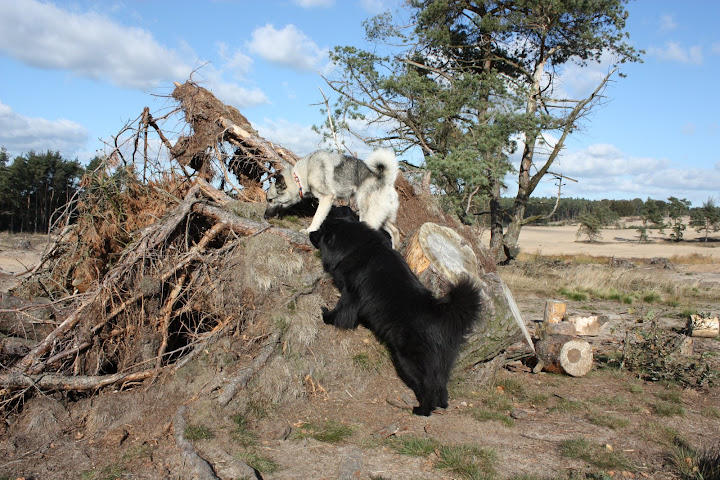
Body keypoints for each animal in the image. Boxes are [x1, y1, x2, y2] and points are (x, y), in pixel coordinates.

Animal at [264, 149, 400, 248]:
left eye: (270, 200)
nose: (264, 216)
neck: (302, 176)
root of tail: (386, 180)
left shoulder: (326, 198)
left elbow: (317, 217)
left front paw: (309, 230)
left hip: (367, 216)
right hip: (381, 218)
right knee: (395, 231)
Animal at [310, 218, 484, 416]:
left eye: (321, 231)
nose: (310, 233)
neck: (356, 247)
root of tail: (440, 313)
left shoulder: (351, 292)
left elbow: (342, 310)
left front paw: (327, 317)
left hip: (409, 359)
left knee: (428, 383)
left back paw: (423, 409)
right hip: (442, 362)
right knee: (441, 382)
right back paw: (442, 403)